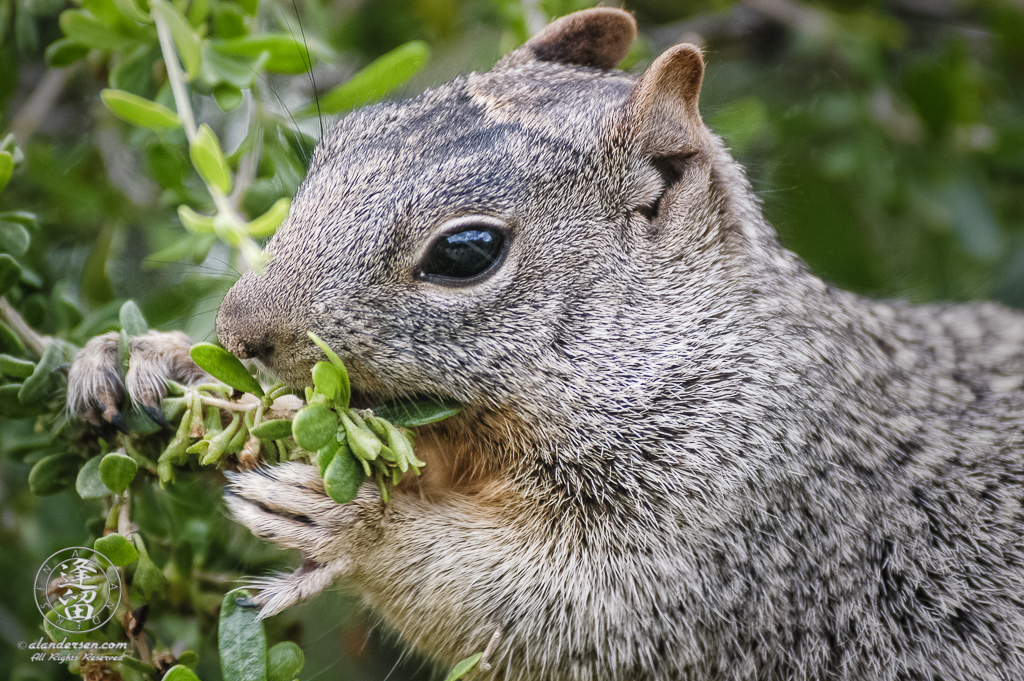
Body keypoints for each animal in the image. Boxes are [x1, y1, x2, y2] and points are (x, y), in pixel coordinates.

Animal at [64, 6, 1024, 679]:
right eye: (342, 140)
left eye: (467, 251)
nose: (239, 328)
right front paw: (145, 359)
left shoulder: (741, 517)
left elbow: (554, 610)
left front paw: (352, 522)